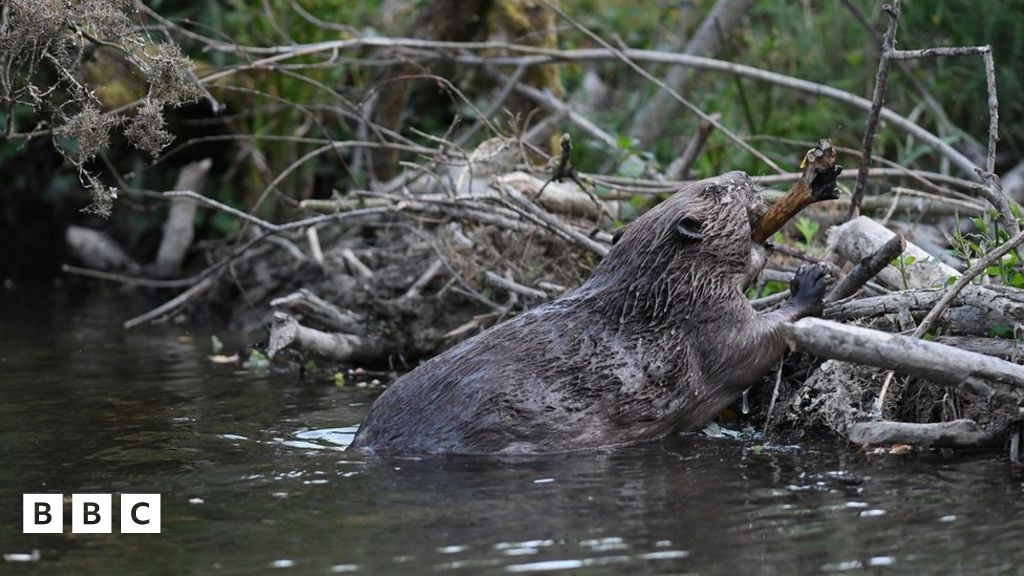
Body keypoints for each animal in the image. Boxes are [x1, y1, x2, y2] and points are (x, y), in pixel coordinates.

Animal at [350, 170, 831, 453]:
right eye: (717, 190)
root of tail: (363, 440)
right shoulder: (705, 316)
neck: (656, 288)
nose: (743, 174)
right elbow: (750, 347)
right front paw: (810, 279)